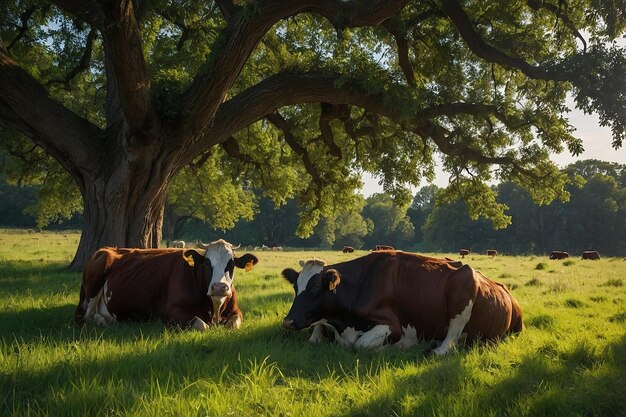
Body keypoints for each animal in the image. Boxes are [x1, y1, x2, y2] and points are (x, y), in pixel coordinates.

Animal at [74, 239, 258, 330]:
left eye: (231, 264)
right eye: (207, 262)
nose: (219, 287)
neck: (214, 309)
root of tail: (106, 249)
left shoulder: (236, 311)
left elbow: (233, 324)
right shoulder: (173, 311)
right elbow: (202, 325)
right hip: (94, 284)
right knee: (87, 316)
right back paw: (103, 321)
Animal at [280, 250, 520, 354]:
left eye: (314, 289)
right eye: (296, 287)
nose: (288, 321)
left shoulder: (392, 325)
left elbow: (360, 344)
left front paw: (395, 346)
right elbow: (316, 333)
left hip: (463, 289)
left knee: (449, 343)